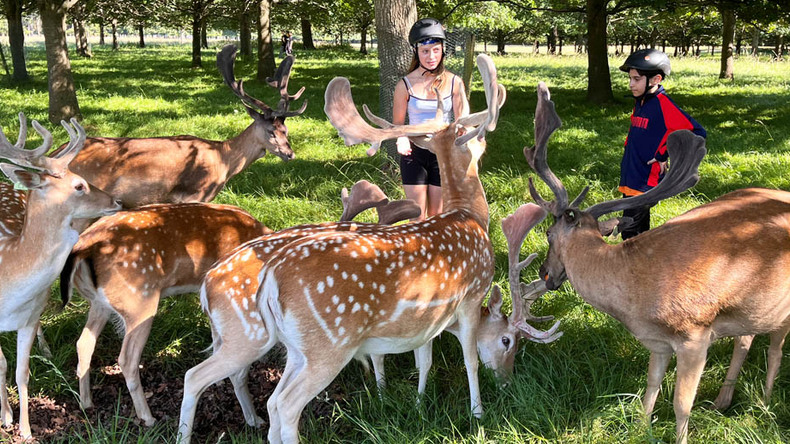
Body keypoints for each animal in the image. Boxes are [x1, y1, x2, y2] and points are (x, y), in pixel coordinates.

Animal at [0, 115, 121, 440]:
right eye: (79, 185)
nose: (116, 201)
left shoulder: (28, 317)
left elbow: (22, 372)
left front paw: (26, 430)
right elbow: (1, 365)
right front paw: (6, 417)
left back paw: (46, 349)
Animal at [48, 44, 307, 209]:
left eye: (286, 131)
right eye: (271, 131)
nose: (290, 154)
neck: (223, 161)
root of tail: (54, 153)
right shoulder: (192, 196)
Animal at [58, 202, 273, 427]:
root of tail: (83, 246)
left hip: (99, 303)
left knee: (83, 343)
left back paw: (86, 403)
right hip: (139, 301)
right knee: (126, 359)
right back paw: (148, 417)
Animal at [524, 81, 790, 444]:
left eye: (548, 233)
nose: (545, 273)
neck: (635, 301)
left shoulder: (695, 334)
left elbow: (681, 404)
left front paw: (679, 437)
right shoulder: (658, 342)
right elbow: (650, 386)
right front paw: (639, 428)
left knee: (775, 349)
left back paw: (763, 403)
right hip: (752, 309)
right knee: (746, 339)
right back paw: (723, 400)